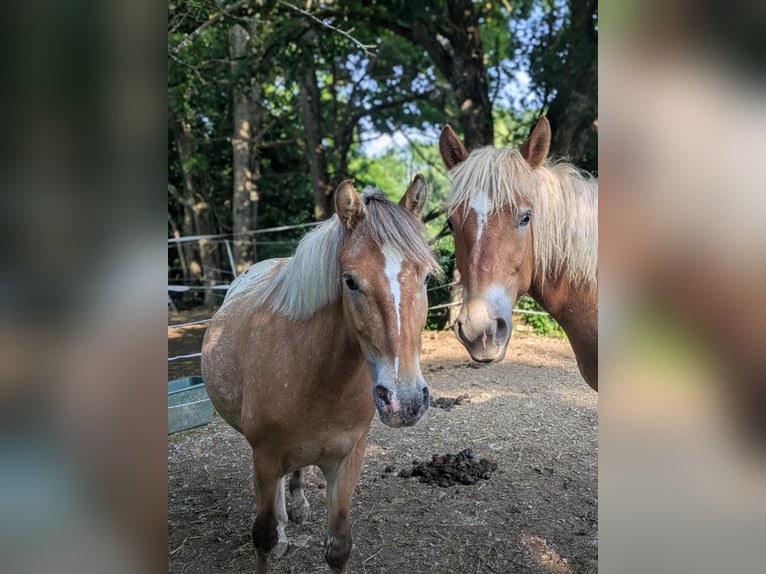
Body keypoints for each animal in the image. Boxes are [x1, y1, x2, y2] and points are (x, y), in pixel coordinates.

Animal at [200, 176, 442, 573]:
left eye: (424, 278)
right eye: (350, 281)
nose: (404, 401)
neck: (318, 377)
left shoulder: (347, 461)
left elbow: (339, 548)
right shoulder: (265, 456)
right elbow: (263, 537)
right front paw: (277, 537)